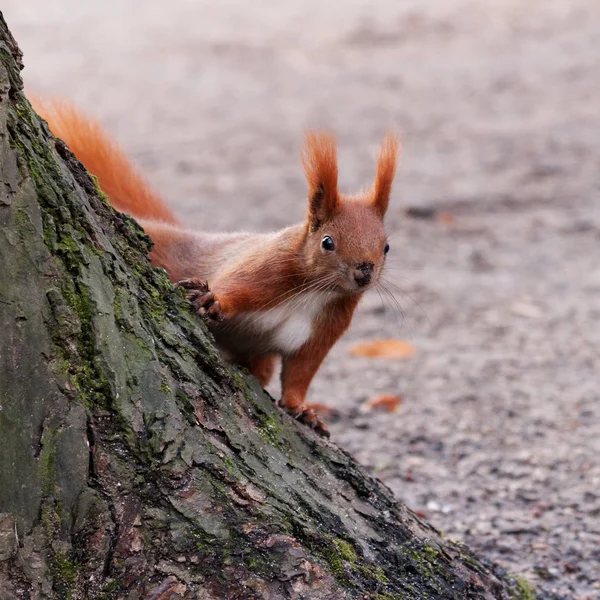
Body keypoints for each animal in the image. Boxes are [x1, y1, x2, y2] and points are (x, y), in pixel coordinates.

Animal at [31, 98, 398, 436]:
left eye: (386, 247)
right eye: (327, 242)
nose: (364, 272)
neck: (317, 292)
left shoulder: (326, 327)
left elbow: (300, 373)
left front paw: (302, 409)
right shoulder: (265, 268)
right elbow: (236, 286)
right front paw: (214, 300)